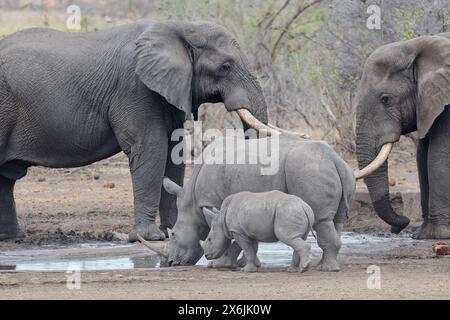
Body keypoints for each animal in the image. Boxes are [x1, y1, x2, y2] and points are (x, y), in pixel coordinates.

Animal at [0, 20, 274, 241]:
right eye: (225, 67)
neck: (181, 27)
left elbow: (174, 151)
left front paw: (172, 232)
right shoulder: (135, 87)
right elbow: (152, 148)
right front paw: (150, 237)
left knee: (6, 178)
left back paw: (13, 237)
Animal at [356, 32, 450, 239]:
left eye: (386, 99)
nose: (398, 227)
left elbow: (437, 157)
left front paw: (434, 235)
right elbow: (422, 157)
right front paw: (419, 235)